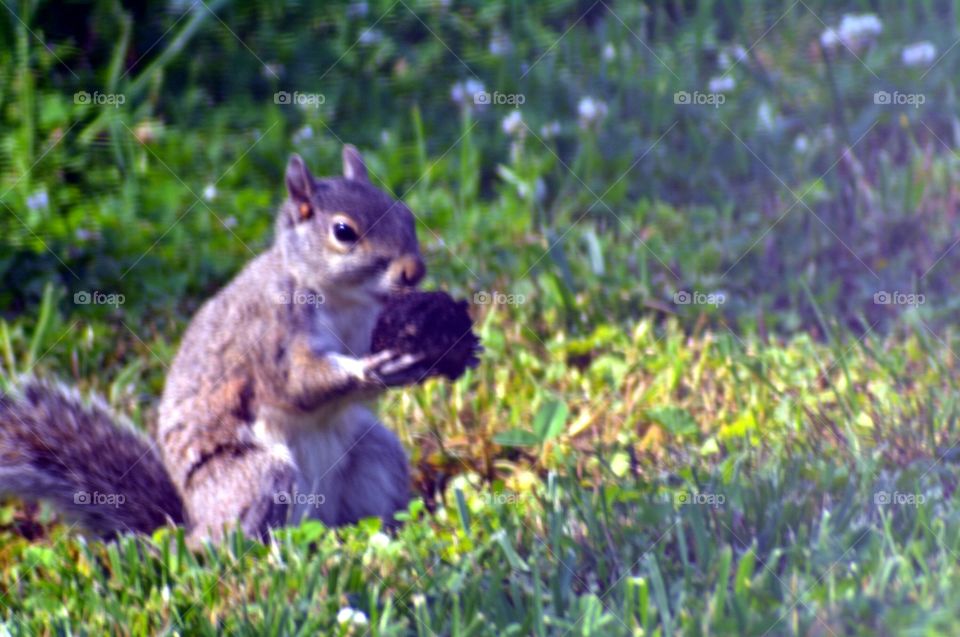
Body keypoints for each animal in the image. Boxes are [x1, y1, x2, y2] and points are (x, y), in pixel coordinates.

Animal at [0, 145, 432, 544]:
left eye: (406, 214)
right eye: (343, 232)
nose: (414, 271)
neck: (344, 300)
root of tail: (189, 526)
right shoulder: (270, 335)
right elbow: (296, 384)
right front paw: (367, 371)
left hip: (376, 452)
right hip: (259, 478)